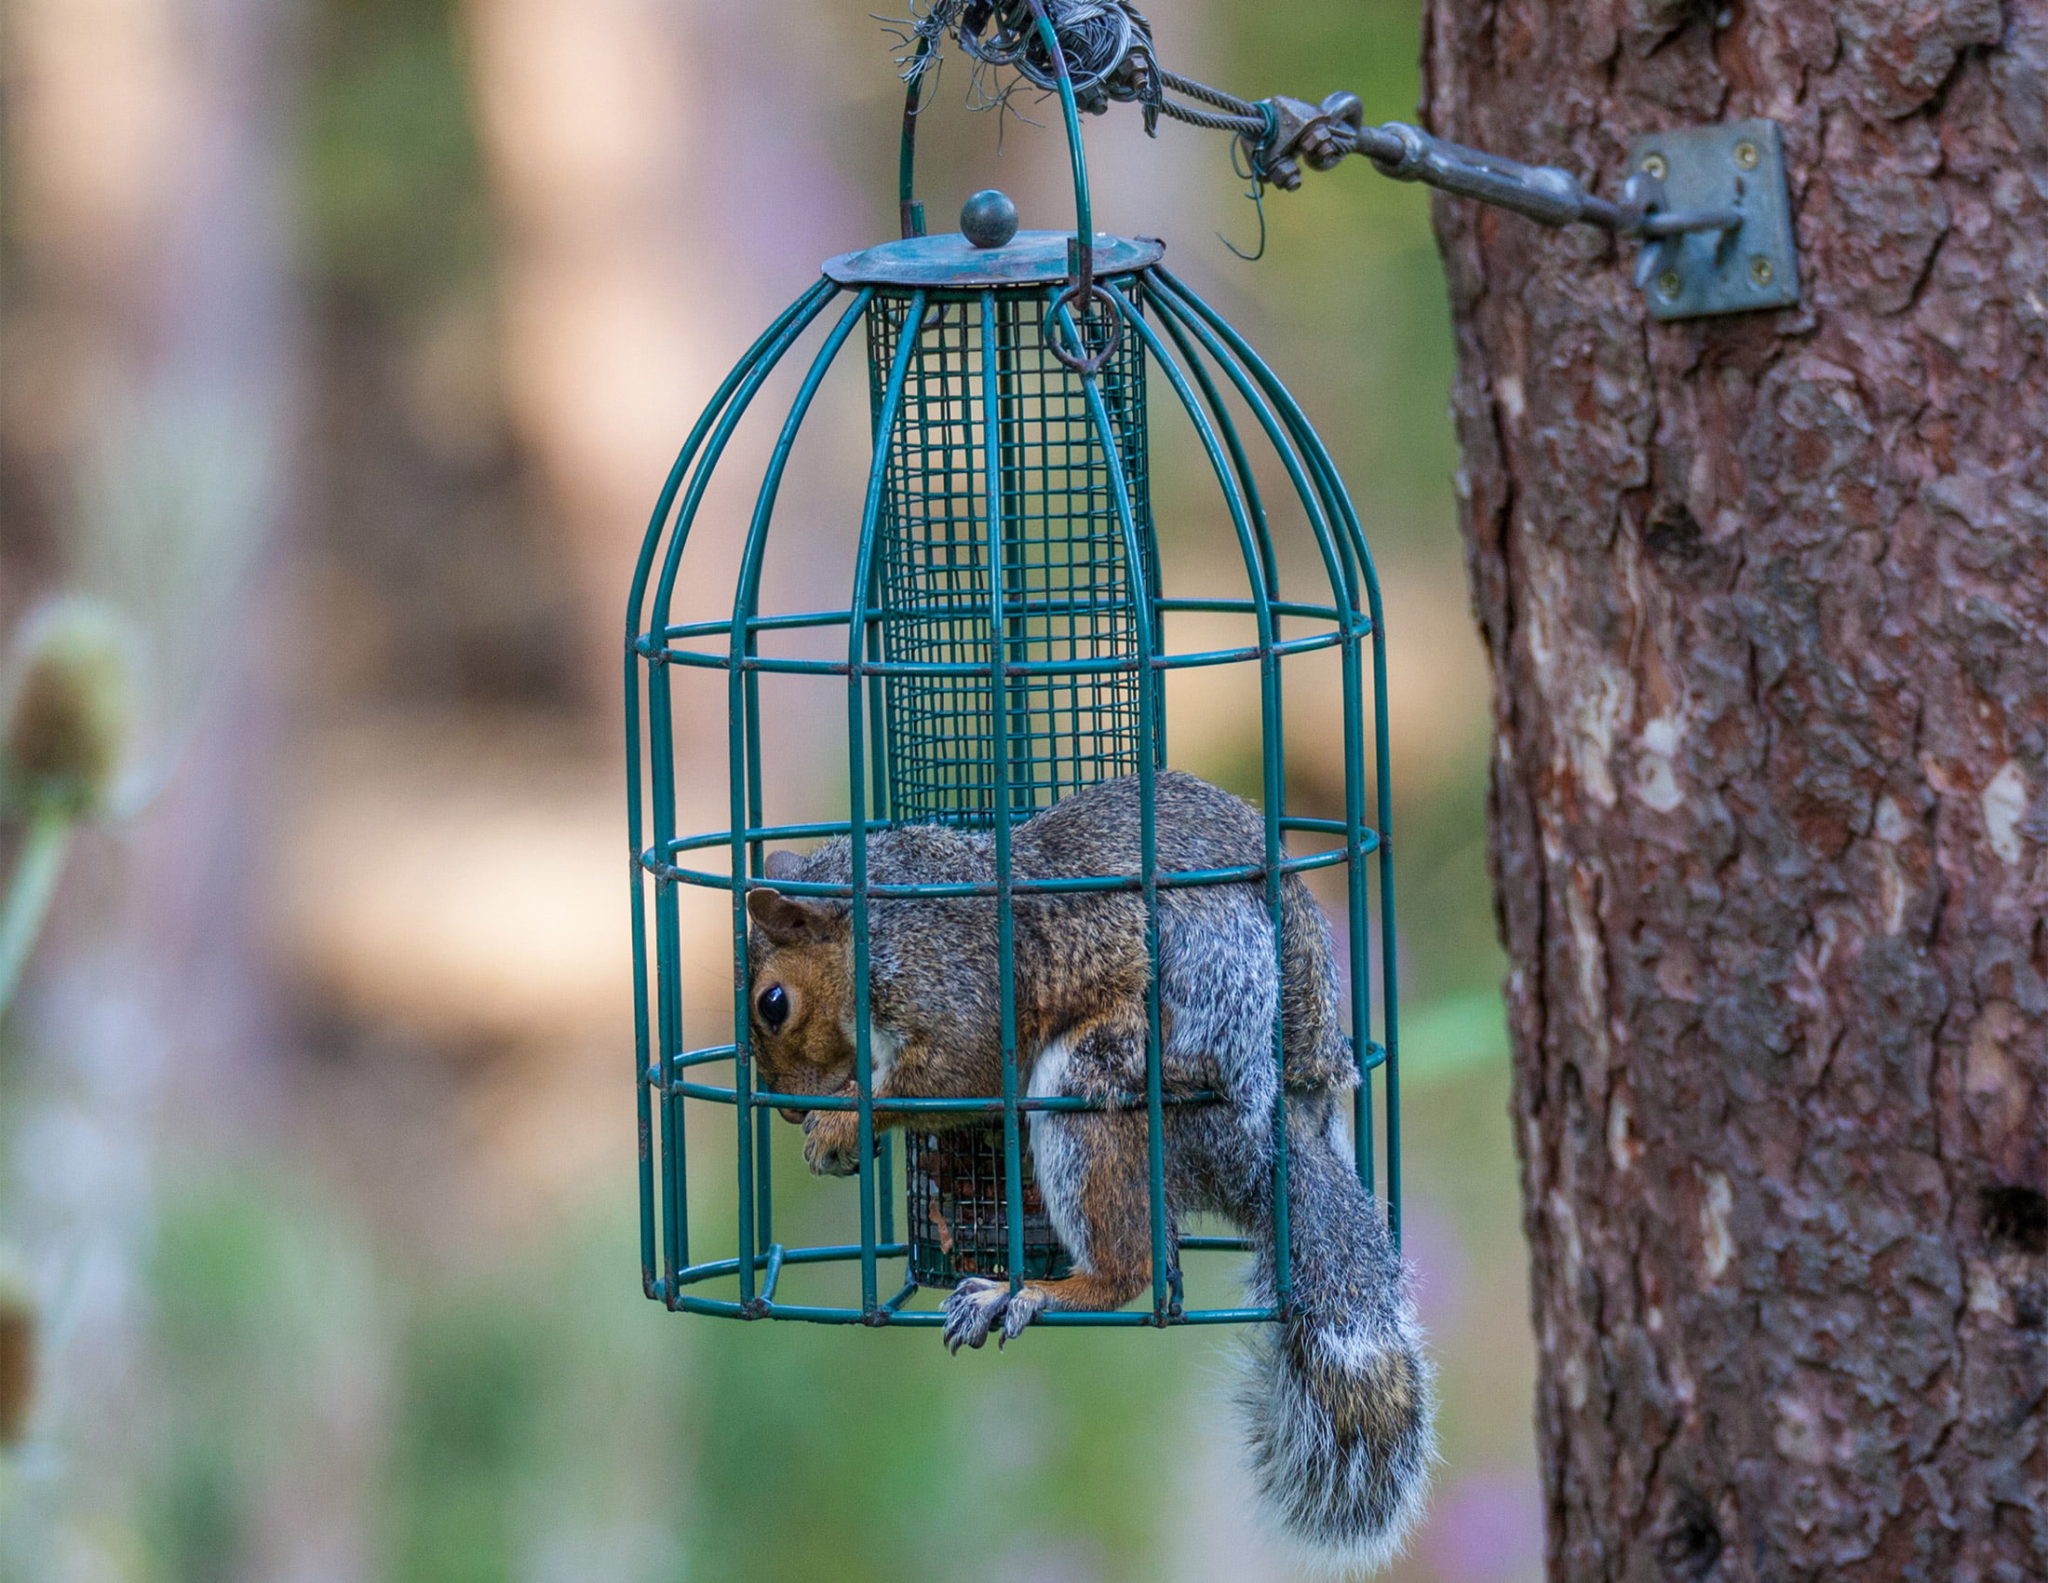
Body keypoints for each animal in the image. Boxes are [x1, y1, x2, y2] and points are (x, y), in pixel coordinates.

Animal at [742, 770, 1434, 1573]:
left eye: (773, 1003)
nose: (788, 1110)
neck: (877, 926)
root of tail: (1262, 1147)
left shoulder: (956, 987)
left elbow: (956, 1072)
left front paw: (841, 1125)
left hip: (1094, 1089)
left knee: (1130, 1268)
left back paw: (1030, 1291)